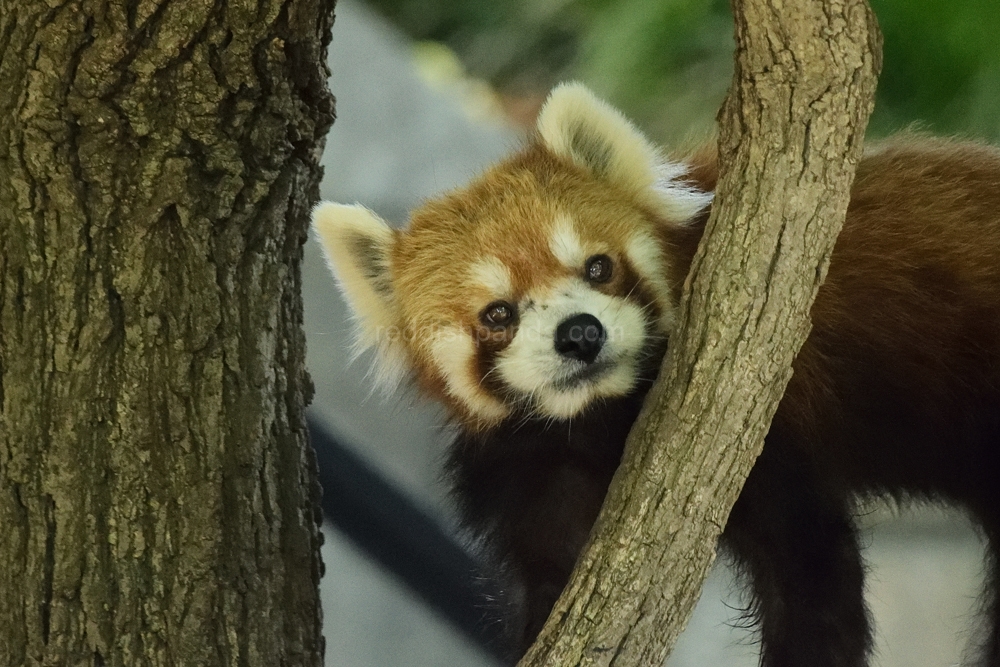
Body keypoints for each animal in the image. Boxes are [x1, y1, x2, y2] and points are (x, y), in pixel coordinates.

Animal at [310, 85, 1000, 667]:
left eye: (598, 267)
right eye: (497, 314)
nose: (580, 334)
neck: (607, 417)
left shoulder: (756, 422)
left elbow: (811, 567)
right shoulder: (539, 474)